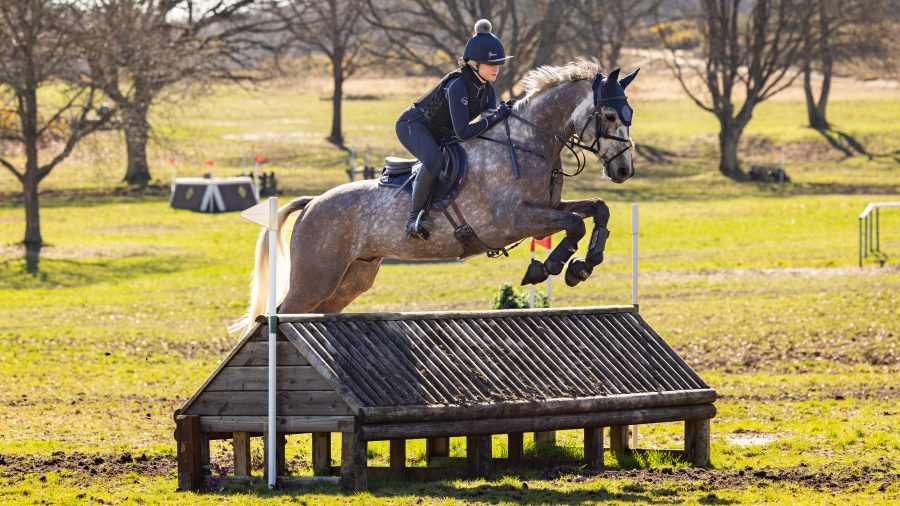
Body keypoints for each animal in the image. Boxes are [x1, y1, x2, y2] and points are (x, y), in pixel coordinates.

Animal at [234, 60, 640, 336]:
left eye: (629, 115)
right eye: (608, 115)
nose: (624, 170)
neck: (530, 143)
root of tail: (312, 203)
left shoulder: (548, 209)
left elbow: (596, 210)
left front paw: (584, 264)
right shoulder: (513, 221)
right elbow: (573, 224)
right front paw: (550, 266)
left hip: (352, 277)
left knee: (319, 311)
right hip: (315, 277)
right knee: (281, 311)